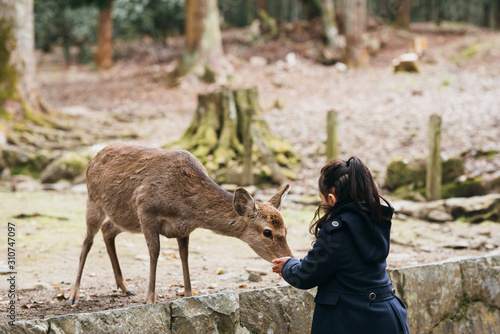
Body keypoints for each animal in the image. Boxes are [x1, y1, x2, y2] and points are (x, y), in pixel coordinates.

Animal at [66, 144, 292, 306]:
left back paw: (125, 287)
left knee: (107, 230)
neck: (184, 207)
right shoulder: (145, 209)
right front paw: (150, 299)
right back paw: (74, 295)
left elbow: (185, 256)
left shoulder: (183, 228)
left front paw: (189, 294)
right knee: (87, 240)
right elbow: (154, 252)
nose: (288, 257)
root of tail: (92, 159)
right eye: (267, 232)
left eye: (286, 229)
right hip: (94, 200)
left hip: (126, 218)